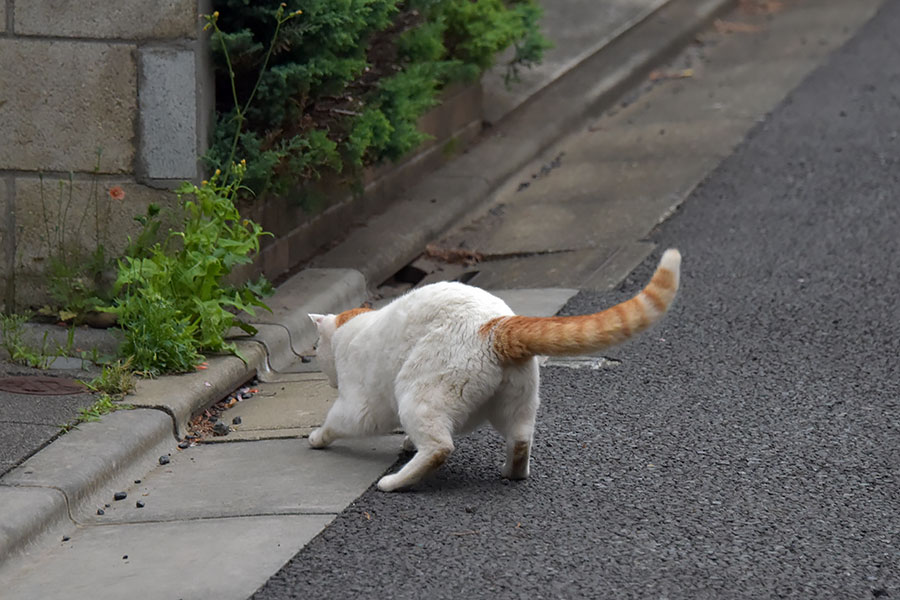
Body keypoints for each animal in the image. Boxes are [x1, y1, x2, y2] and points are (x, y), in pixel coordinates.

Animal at [306, 248, 680, 492]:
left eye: (316, 351)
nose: (323, 371)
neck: (349, 328)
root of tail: (497, 325)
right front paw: (406, 444)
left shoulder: (361, 406)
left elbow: (336, 422)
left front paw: (317, 438)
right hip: (515, 400)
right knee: (521, 438)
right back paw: (512, 472)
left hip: (418, 391)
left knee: (440, 446)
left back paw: (395, 482)